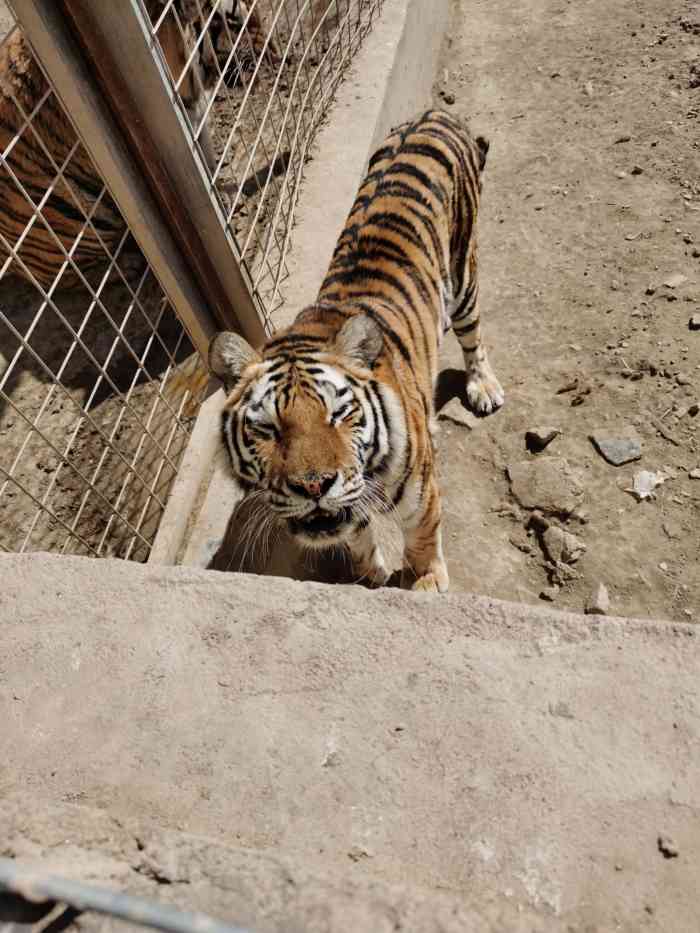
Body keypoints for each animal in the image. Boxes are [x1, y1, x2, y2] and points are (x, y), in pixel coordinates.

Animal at [208, 109, 504, 588]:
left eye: (339, 414)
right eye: (267, 428)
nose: (314, 486)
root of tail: (435, 114)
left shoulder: (421, 501)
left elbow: (423, 542)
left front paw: (426, 584)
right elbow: (357, 533)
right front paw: (370, 575)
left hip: (464, 275)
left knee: (473, 336)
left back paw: (484, 388)